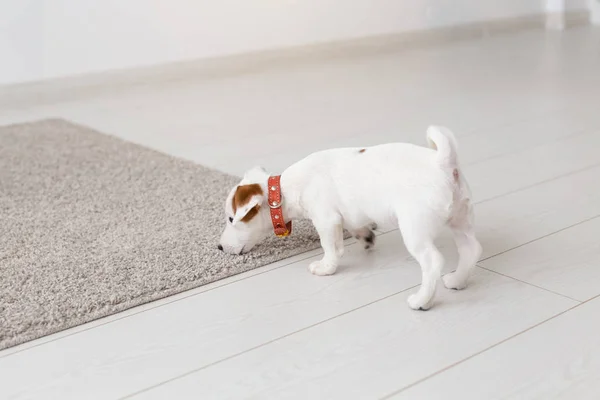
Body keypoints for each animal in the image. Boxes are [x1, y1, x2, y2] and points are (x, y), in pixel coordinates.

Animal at [220, 126, 482, 310]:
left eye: (231, 219)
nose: (219, 247)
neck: (284, 189)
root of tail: (443, 163)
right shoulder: (347, 216)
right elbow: (355, 226)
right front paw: (365, 236)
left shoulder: (326, 220)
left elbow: (330, 247)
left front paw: (325, 267)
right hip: (460, 219)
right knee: (471, 249)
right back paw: (458, 280)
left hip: (414, 228)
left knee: (432, 262)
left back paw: (422, 300)